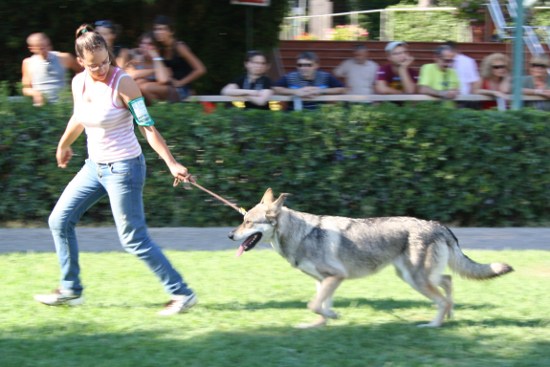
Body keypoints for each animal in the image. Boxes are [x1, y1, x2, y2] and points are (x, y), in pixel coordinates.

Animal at [229, 190, 512, 328]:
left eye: (248, 222)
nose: (230, 234)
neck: (300, 233)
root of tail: (438, 225)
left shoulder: (336, 277)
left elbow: (314, 305)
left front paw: (331, 317)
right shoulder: (323, 281)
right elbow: (319, 306)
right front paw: (319, 324)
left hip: (415, 279)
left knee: (442, 296)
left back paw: (433, 325)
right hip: (413, 275)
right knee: (448, 281)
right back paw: (450, 315)